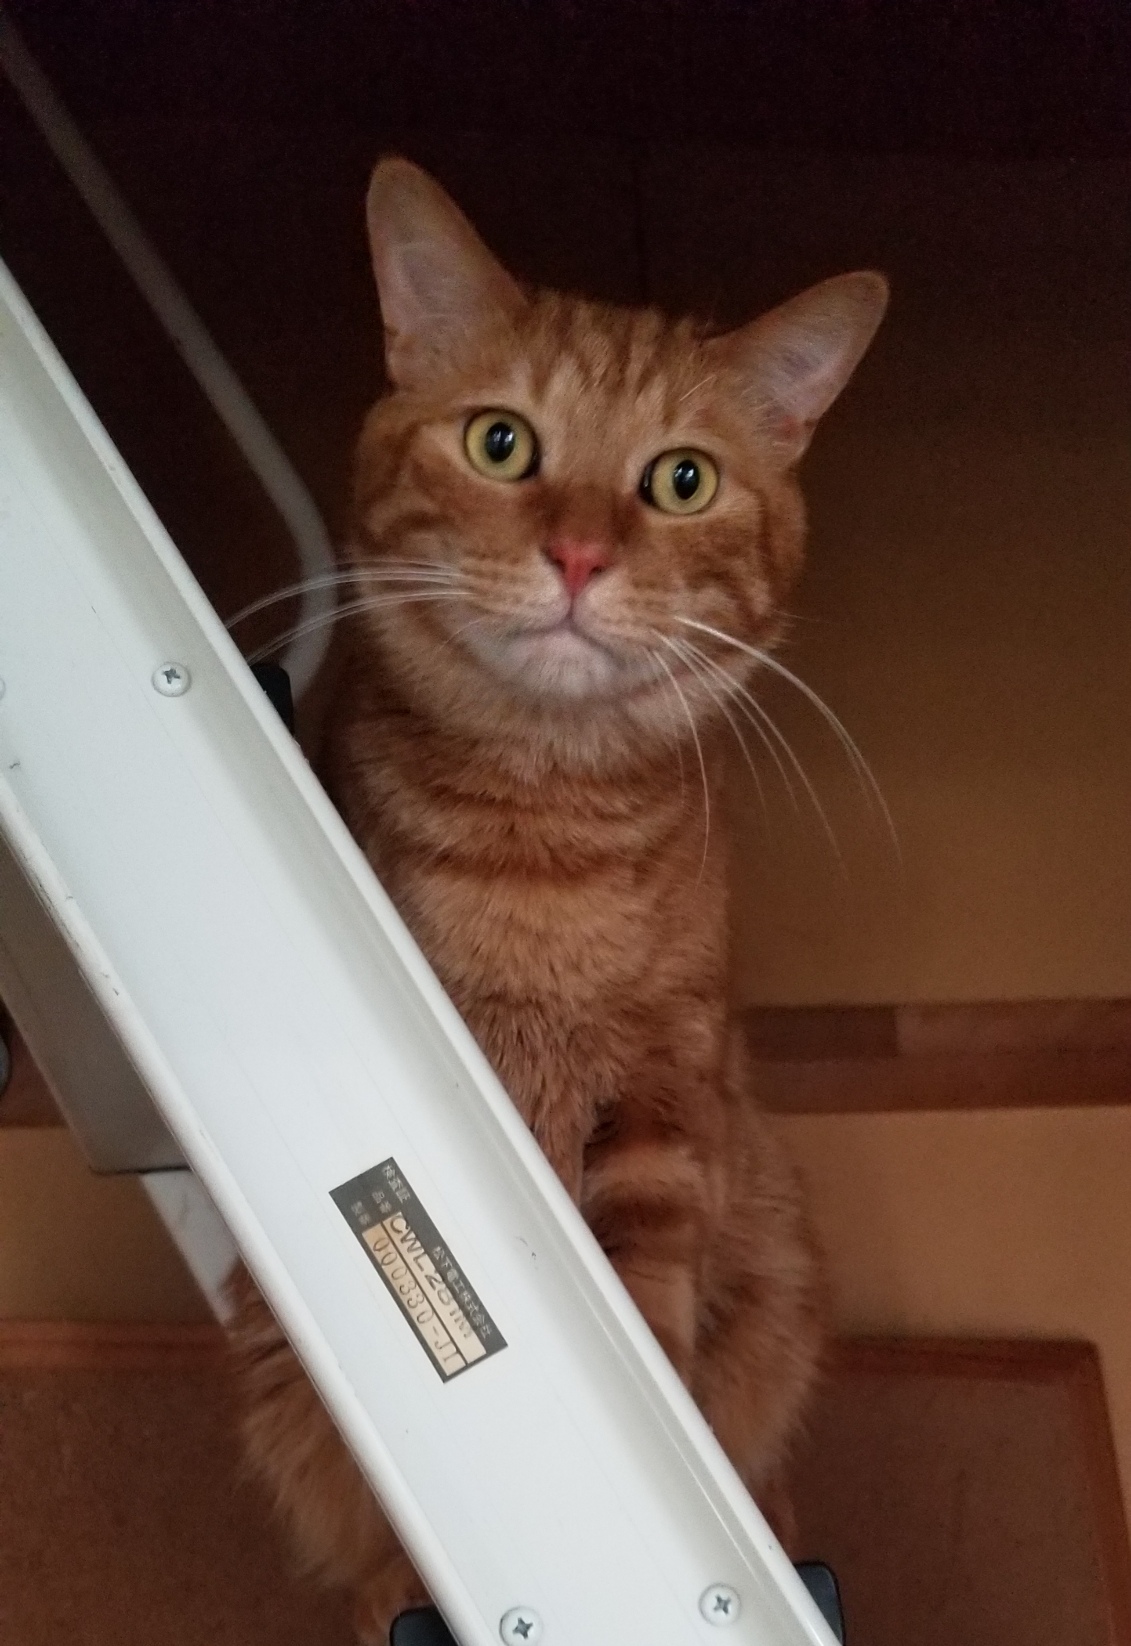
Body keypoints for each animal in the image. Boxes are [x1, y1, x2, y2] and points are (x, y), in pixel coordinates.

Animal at [229, 156, 887, 1644]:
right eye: (501, 445)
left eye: (681, 480)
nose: (582, 556)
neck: (545, 844)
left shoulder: (662, 1104)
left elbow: (647, 1318)